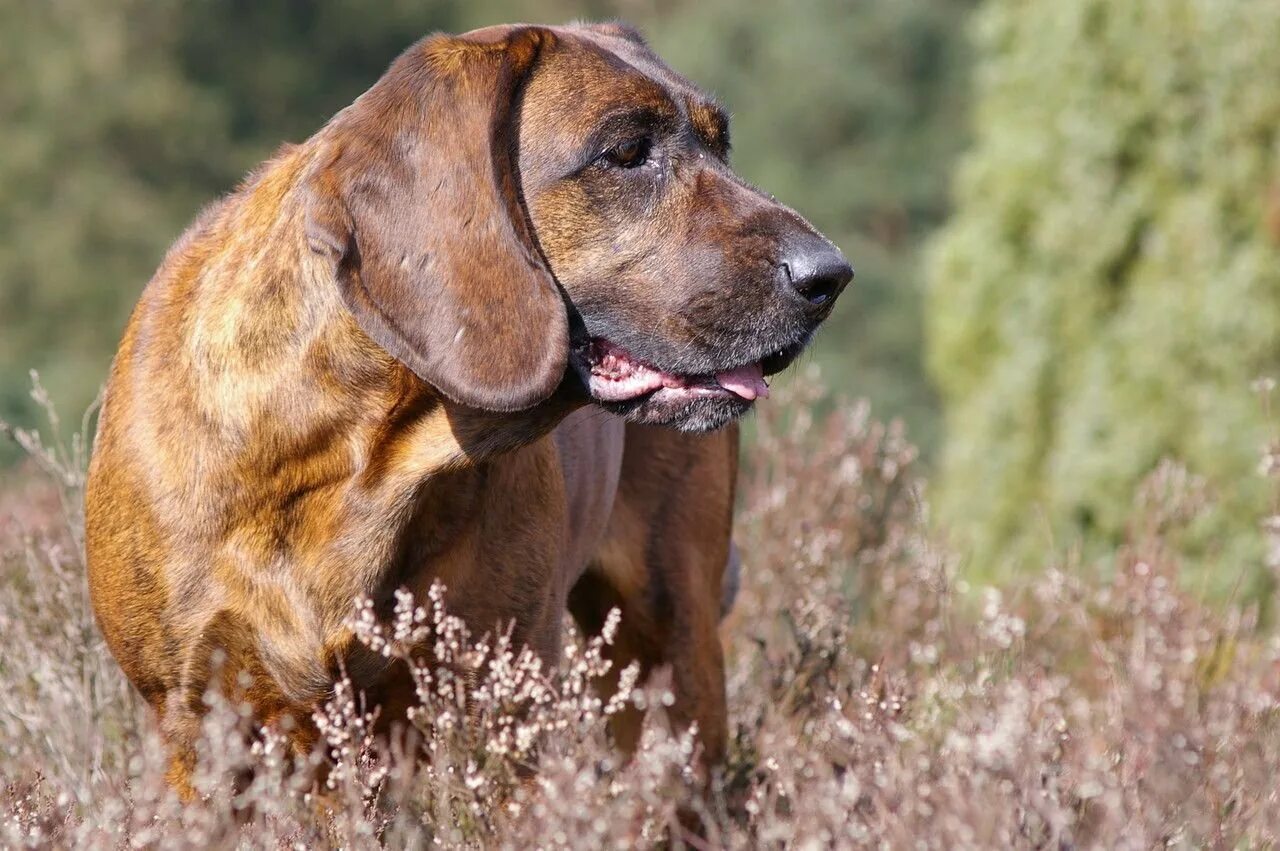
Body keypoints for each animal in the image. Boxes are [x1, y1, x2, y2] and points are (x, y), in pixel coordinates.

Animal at [87, 24, 849, 798]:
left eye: (722, 147)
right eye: (628, 152)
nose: (831, 275)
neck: (350, 459)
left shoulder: (499, 704)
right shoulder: (196, 721)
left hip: (672, 636)